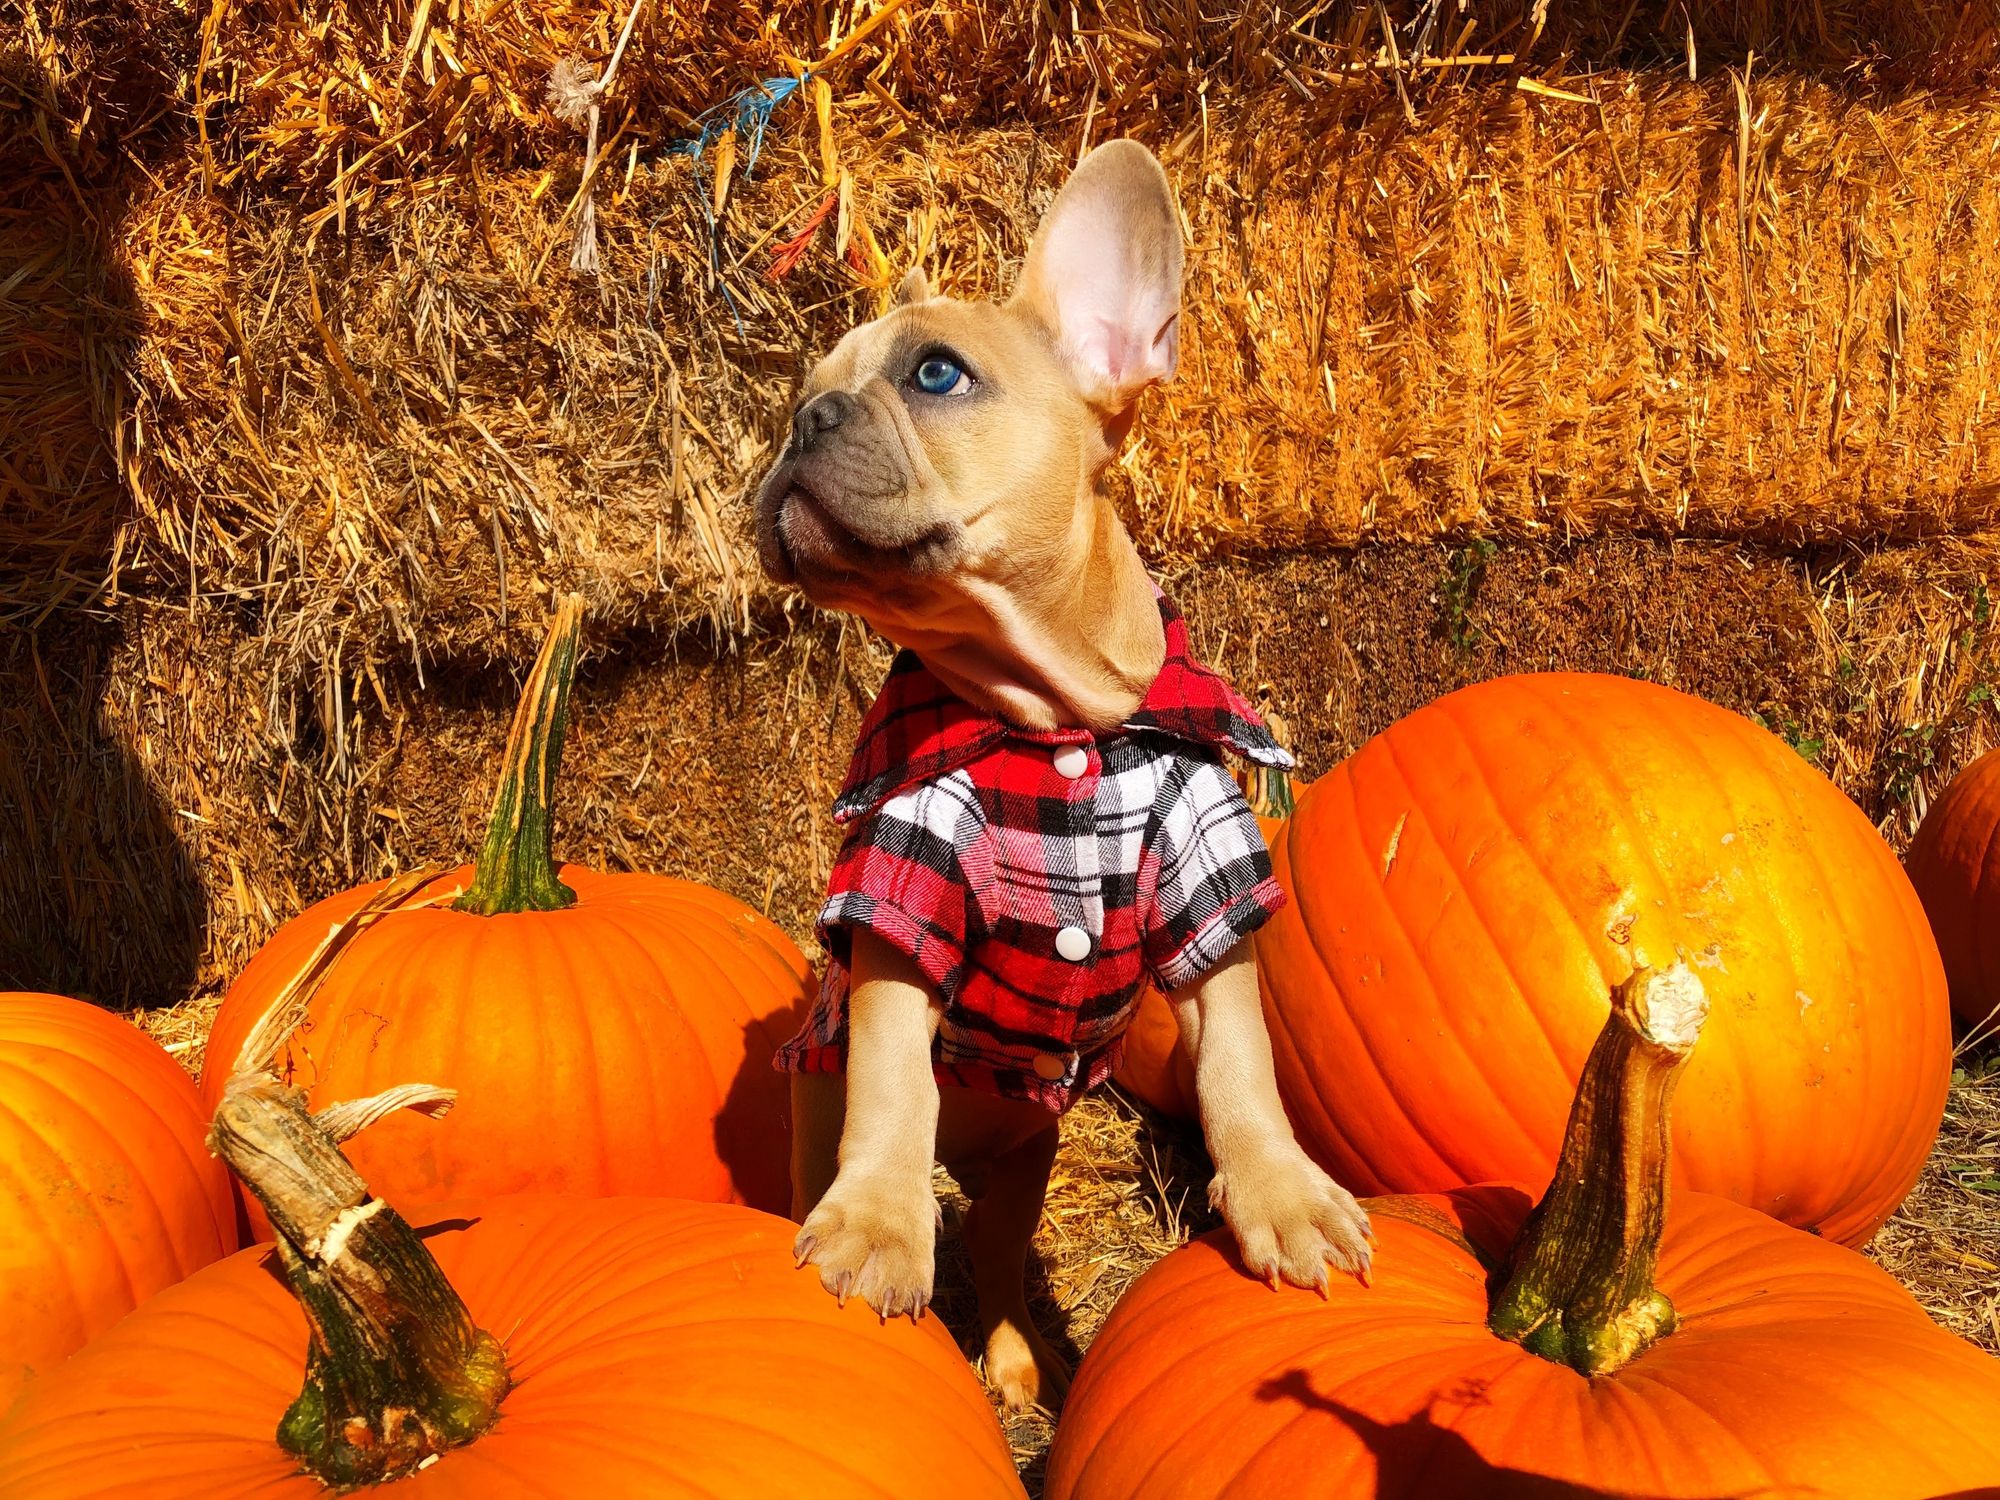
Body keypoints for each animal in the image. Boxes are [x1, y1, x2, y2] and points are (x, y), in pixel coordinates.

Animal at [752, 138, 1376, 1408]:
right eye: (800, 397)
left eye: (936, 374)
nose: (801, 422)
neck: (1050, 716)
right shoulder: (904, 883)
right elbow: (893, 1074)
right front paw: (876, 1228)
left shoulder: (1208, 883)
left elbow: (1238, 1066)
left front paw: (1284, 1198)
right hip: (812, 1104)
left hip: (1024, 1163)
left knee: (995, 1256)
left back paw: (1010, 1355)